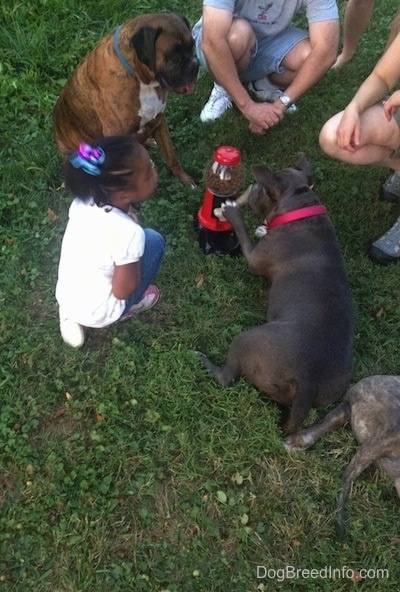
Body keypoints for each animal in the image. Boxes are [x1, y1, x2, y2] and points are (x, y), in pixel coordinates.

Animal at [53, 13, 200, 185]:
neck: (141, 79)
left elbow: (171, 156)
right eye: (174, 56)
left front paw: (185, 180)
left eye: (192, 47)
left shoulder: (159, 119)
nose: (195, 65)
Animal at [198, 154, 356, 434]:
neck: (299, 208)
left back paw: (204, 361)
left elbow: (243, 233)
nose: (251, 187)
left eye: (261, 188)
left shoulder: (253, 258)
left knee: (227, 378)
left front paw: (231, 211)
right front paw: (262, 228)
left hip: (246, 339)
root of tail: (308, 380)